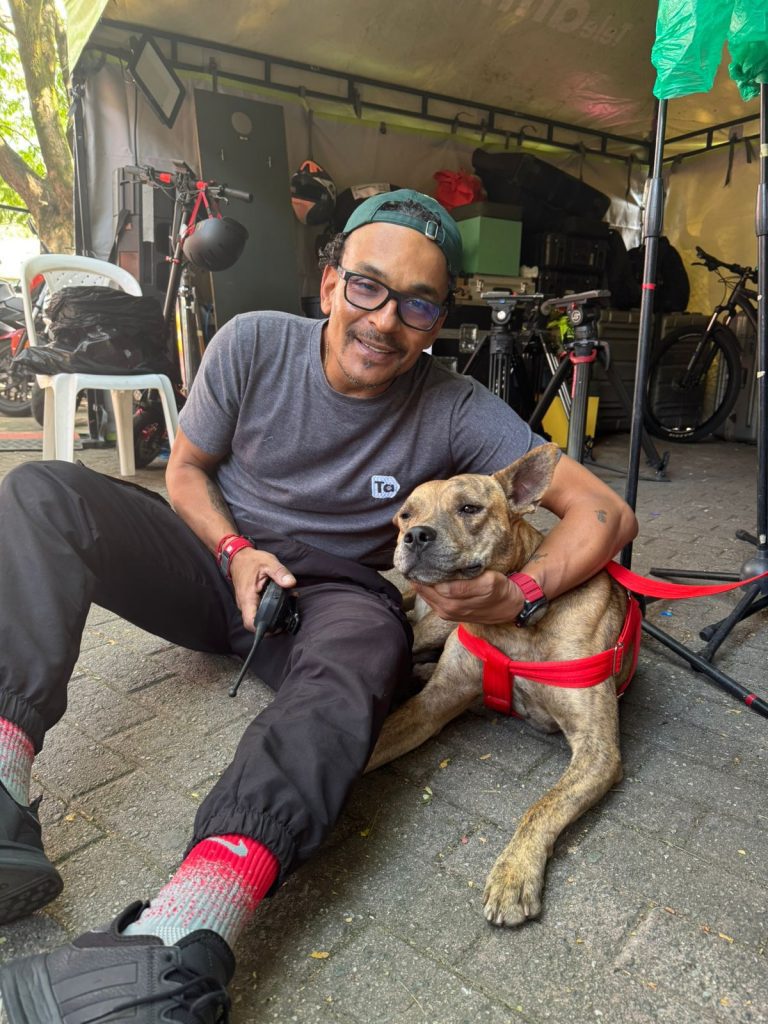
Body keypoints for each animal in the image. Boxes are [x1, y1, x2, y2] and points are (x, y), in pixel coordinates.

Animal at [370, 444, 634, 925]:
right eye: (404, 514)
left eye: (469, 508)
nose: (413, 535)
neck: (513, 627)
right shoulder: (433, 704)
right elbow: (378, 742)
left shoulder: (598, 749)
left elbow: (542, 806)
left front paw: (514, 872)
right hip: (435, 626)